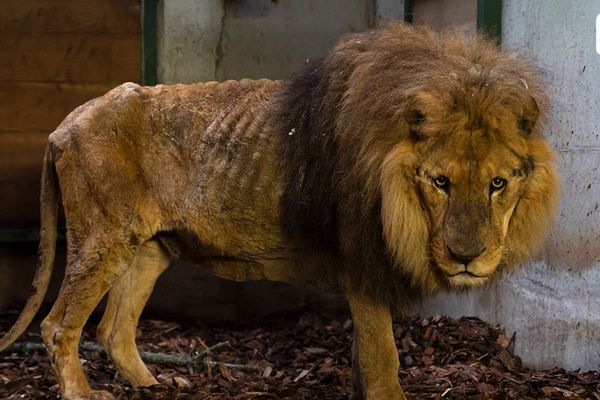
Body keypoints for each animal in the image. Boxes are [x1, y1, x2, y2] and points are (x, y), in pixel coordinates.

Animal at [0, 22, 556, 400]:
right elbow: (383, 357)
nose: (466, 258)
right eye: (440, 182)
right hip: (104, 238)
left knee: (114, 329)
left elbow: (363, 355)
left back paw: (157, 384)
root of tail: (64, 122)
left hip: (149, 247)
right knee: (58, 326)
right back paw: (84, 392)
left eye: (498, 184)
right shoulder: (362, 264)